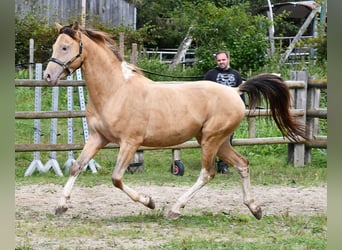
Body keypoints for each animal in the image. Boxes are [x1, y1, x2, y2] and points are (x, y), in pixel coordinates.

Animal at [44, 22, 306, 220]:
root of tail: (235, 91)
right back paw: (255, 208)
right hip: (218, 140)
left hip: (211, 139)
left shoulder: (130, 142)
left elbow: (117, 178)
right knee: (242, 164)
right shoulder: (98, 138)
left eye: (65, 47)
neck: (115, 90)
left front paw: (150, 202)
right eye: (55, 46)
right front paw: (61, 206)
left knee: (207, 173)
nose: (47, 76)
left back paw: (175, 210)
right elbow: (77, 166)